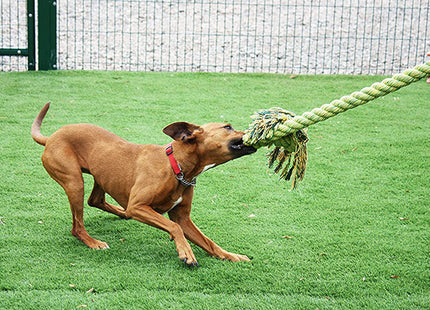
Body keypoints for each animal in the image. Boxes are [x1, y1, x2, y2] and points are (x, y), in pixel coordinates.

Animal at [32, 103, 258, 266]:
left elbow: (208, 242)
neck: (176, 166)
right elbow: (174, 227)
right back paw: (92, 242)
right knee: (77, 225)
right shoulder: (138, 206)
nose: (252, 131)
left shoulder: (183, 217)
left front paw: (230, 255)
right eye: (227, 127)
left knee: (95, 200)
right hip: (74, 182)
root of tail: (51, 137)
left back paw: (120, 213)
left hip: (101, 175)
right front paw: (185, 251)